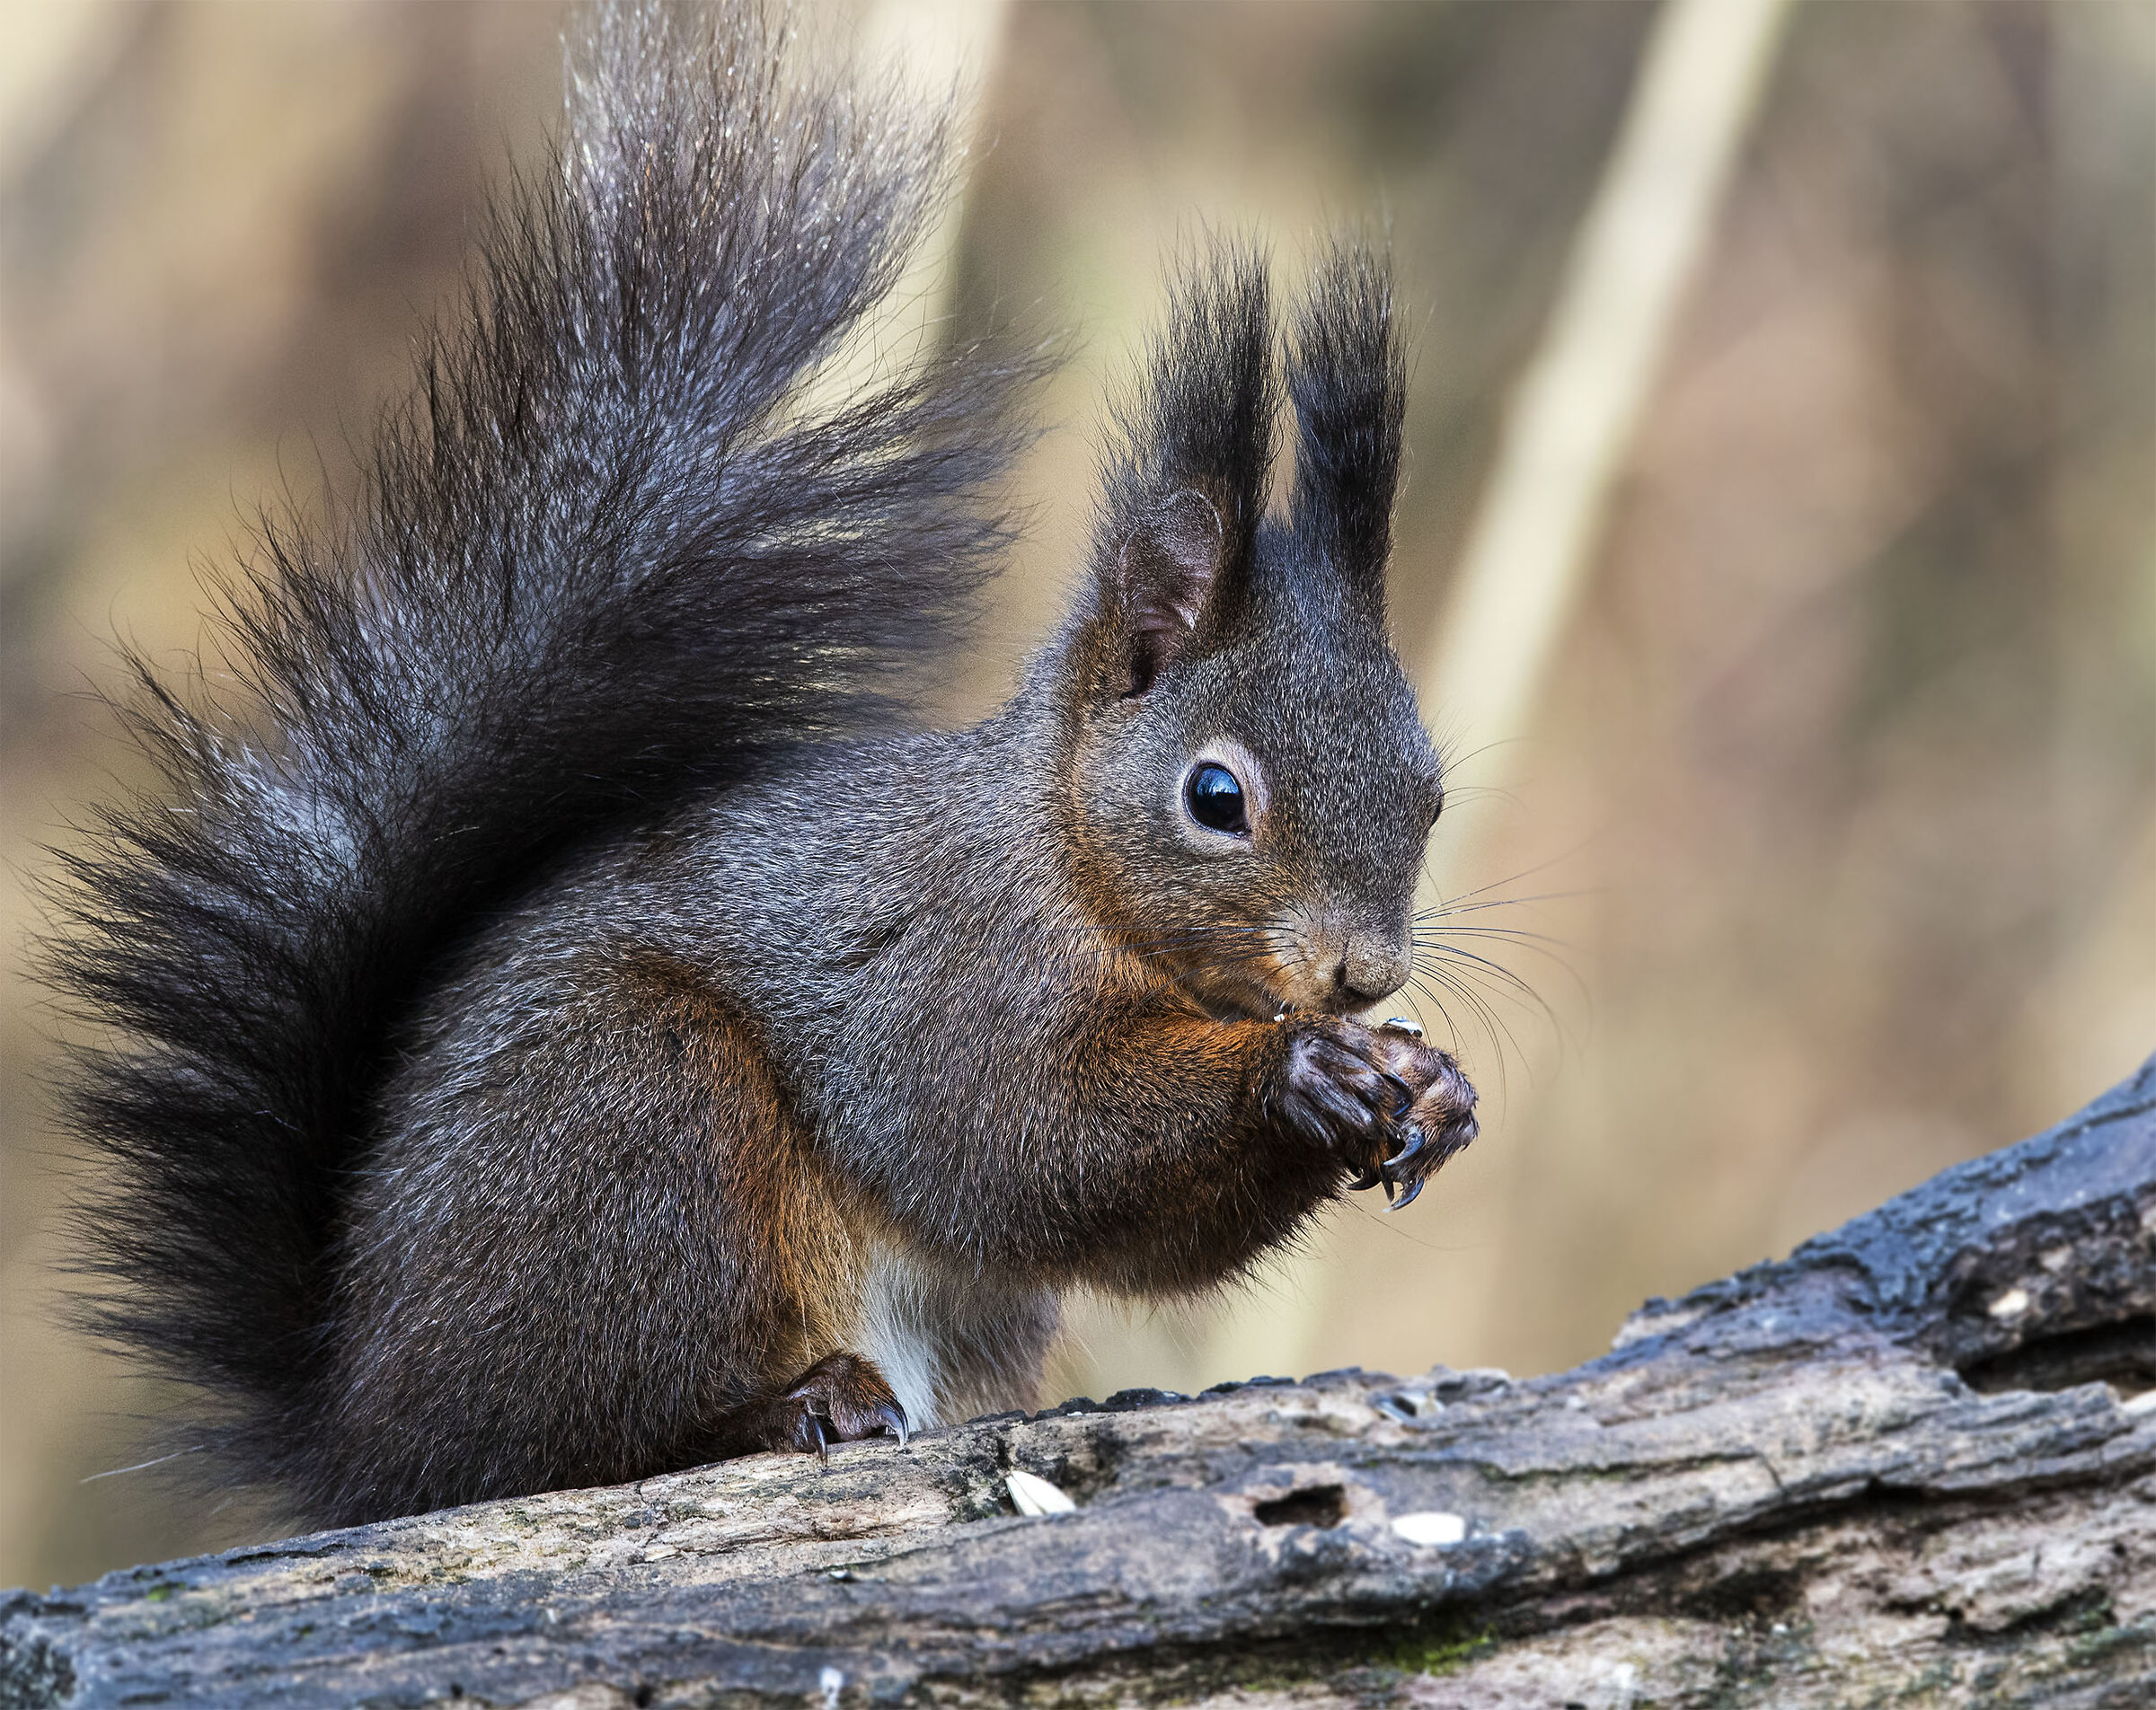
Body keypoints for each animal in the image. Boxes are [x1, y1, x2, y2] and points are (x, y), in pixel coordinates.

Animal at [48, 0, 1478, 1531]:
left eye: (1431, 790)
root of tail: (358, 1428)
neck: (1060, 854)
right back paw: (781, 1407)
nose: (1364, 974)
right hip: (642, 1129)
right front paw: (1307, 1070)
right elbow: (1020, 1146)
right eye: (1217, 799)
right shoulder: (947, 974)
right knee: (548, 1445)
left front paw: (1430, 1087)